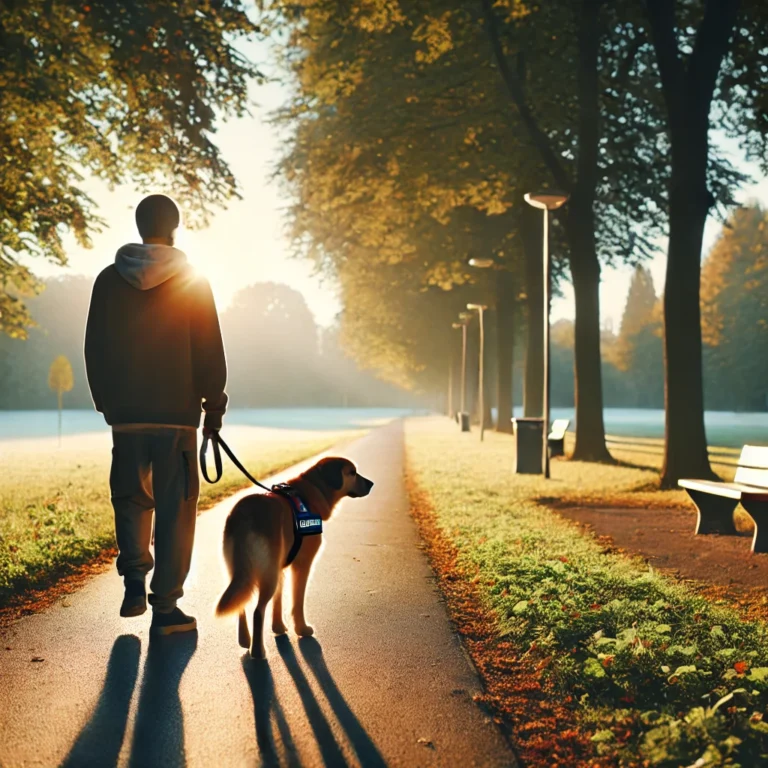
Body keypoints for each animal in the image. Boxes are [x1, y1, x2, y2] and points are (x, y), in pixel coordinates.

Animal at [214, 456, 374, 660]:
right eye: (352, 472)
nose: (371, 484)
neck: (312, 490)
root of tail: (244, 516)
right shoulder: (302, 564)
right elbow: (297, 601)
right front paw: (302, 629)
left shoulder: (280, 567)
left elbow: (278, 600)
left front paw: (278, 627)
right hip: (267, 575)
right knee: (258, 611)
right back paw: (257, 651)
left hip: (242, 572)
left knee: (241, 603)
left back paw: (245, 640)